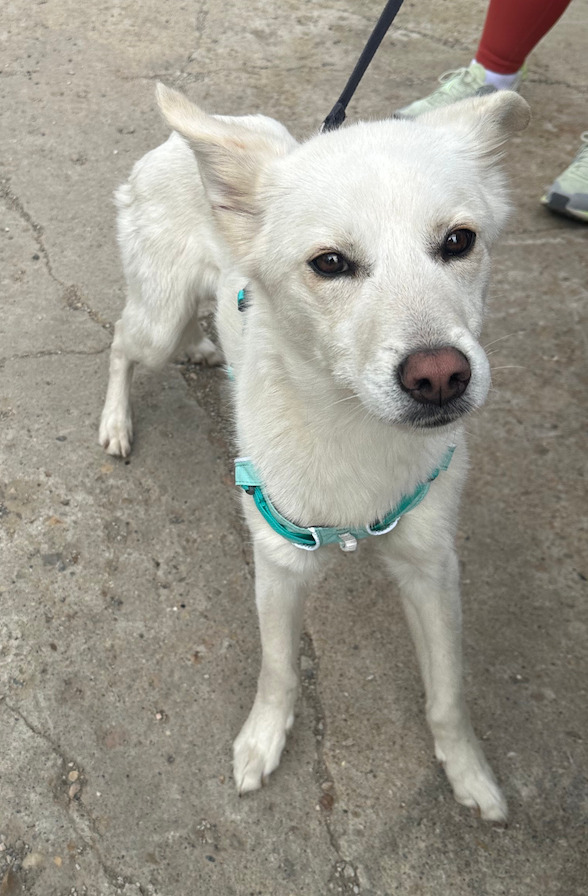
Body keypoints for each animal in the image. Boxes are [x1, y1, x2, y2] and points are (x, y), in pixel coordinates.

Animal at [99, 84, 532, 820]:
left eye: (459, 241)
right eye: (330, 263)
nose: (441, 376)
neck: (352, 426)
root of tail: (186, 139)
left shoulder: (431, 568)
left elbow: (448, 694)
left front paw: (468, 773)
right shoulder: (279, 566)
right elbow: (279, 670)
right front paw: (263, 740)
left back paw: (206, 347)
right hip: (156, 317)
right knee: (123, 346)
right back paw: (115, 421)